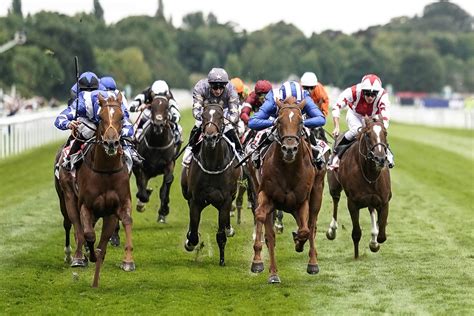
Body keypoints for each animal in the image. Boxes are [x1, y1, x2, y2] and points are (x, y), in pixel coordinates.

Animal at [76, 93, 134, 286]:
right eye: (100, 117)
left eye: (122, 117)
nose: (111, 142)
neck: (106, 171)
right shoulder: (86, 206)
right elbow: (89, 234)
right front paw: (90, 255)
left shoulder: (120, 205)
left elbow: (127, 221)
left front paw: (128, 261)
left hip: (108, 217)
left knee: (104, 241)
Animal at [132, 95, 179, 223]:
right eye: (152, 107)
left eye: (167, 108)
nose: (158, 124)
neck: (157, 144)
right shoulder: (140, 167)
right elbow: (142, 192)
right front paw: (144, 197)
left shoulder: (169, 165)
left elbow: (164, 188)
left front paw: (163, 211)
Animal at [181, 102, 243, 266]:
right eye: (203, 116)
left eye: (220, 116)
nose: (210, 137)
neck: (212, 164)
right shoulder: (196, 200)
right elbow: (194, 233)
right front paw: (189, 242)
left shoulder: (225, 199)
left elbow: (221, 234)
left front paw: (222, 260)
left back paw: (229, 228)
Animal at [250, 97, 324, 284]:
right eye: (278, 121)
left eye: (301, 122)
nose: (289, 149)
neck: (289, 170)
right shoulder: (266, 195)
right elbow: (262, 220)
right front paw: (264, 266)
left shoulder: (302, 200)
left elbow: (305, 230)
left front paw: (299, 242)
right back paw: (267, 268)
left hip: (317, 194)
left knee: (311, 225)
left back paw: (313, 262)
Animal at [326, 115, 392, 258]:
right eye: (367, 134)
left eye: (385, 133)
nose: (380, 159)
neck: (370, 175)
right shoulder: (353, 203)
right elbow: (356, 233)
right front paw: (356, 256)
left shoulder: (384, 201)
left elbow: (382, 235)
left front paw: (374, 243)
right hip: (334, 187)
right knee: (335, 202)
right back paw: (332, 230)